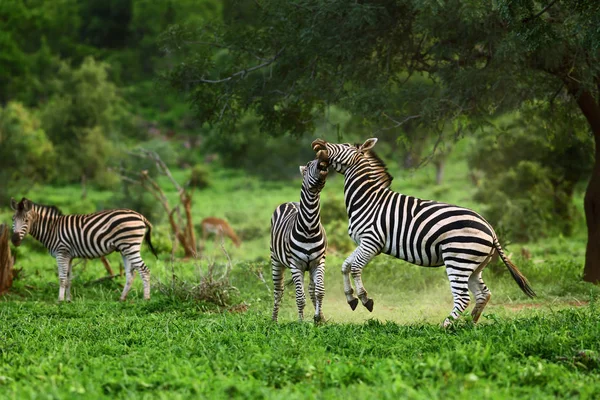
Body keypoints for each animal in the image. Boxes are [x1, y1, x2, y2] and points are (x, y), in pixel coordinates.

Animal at [11, 198, 157, 302]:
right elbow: (69, 277)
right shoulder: (68, 255)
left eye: (26, 220)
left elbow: (62, 278)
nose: (14, 240)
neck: (51, 229)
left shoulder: (61, 252)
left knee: (144, 270)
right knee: (130, 274)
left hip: (130, 245)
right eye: (13, 219)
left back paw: (146, 299)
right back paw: (122, 298)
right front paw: (68, 300)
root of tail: (140, 215)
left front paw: (59, 301)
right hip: (124, 249)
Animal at [270, 158, 328, 324]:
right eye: (308, 166)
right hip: (276, 260)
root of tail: (289, 202)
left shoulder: (318, 262)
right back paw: (274, 320)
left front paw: (318, 318)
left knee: (312, 289)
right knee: (278, 290)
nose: (322, 162)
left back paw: (320, 316)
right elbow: (300, 297)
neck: (309, 227)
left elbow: (319, 291)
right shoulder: (295, 265)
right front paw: (301, 322)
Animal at [312, 139, 536, 326]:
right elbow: (345, 265)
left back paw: (446, 326)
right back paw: (469, 324)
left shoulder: (371, 241)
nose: (318, 143)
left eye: (344, 145)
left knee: (463, 297)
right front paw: (350, 298)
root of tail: (490, 229)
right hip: (474, 265)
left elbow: (356, 267)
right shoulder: (364, 243)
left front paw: (365, 299)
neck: (367, 199)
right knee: (483, 294)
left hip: (458, 259)